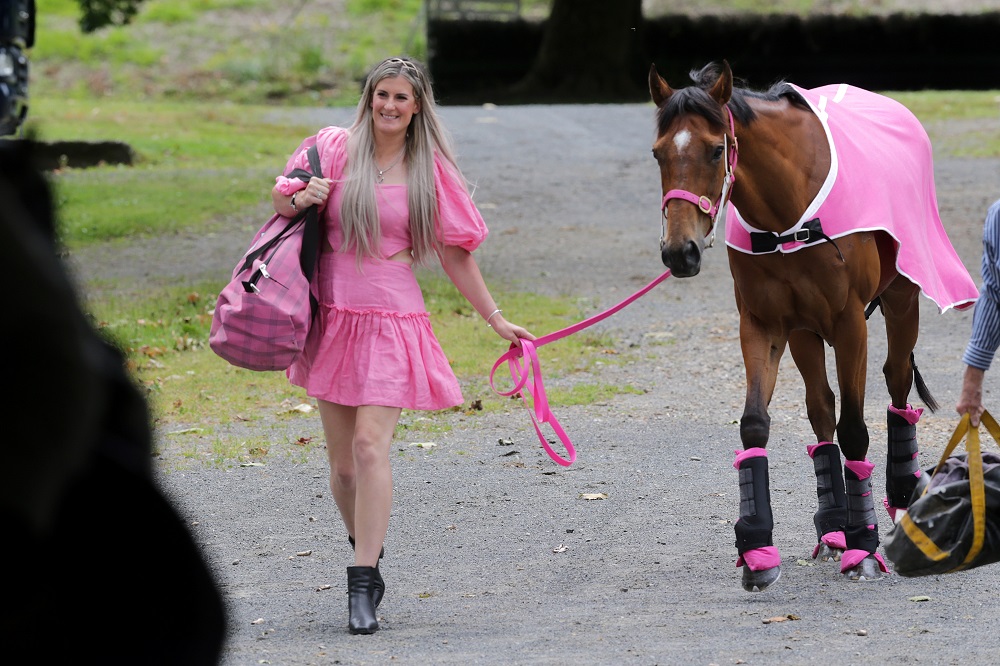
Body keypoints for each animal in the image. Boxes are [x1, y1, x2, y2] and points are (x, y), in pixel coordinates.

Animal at [644, 62, 980, 588]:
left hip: (902, 301)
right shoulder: (765, 325)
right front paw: (758, 547)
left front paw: (864, 546)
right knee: (822, 411)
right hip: (805, 333)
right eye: (658, 153)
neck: (788, 215)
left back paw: (901, 493)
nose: (680, 252)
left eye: (716, 149)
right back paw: (835, 524)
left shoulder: (849, 325)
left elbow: (856, 430)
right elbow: (757, 424)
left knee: (896, 381)